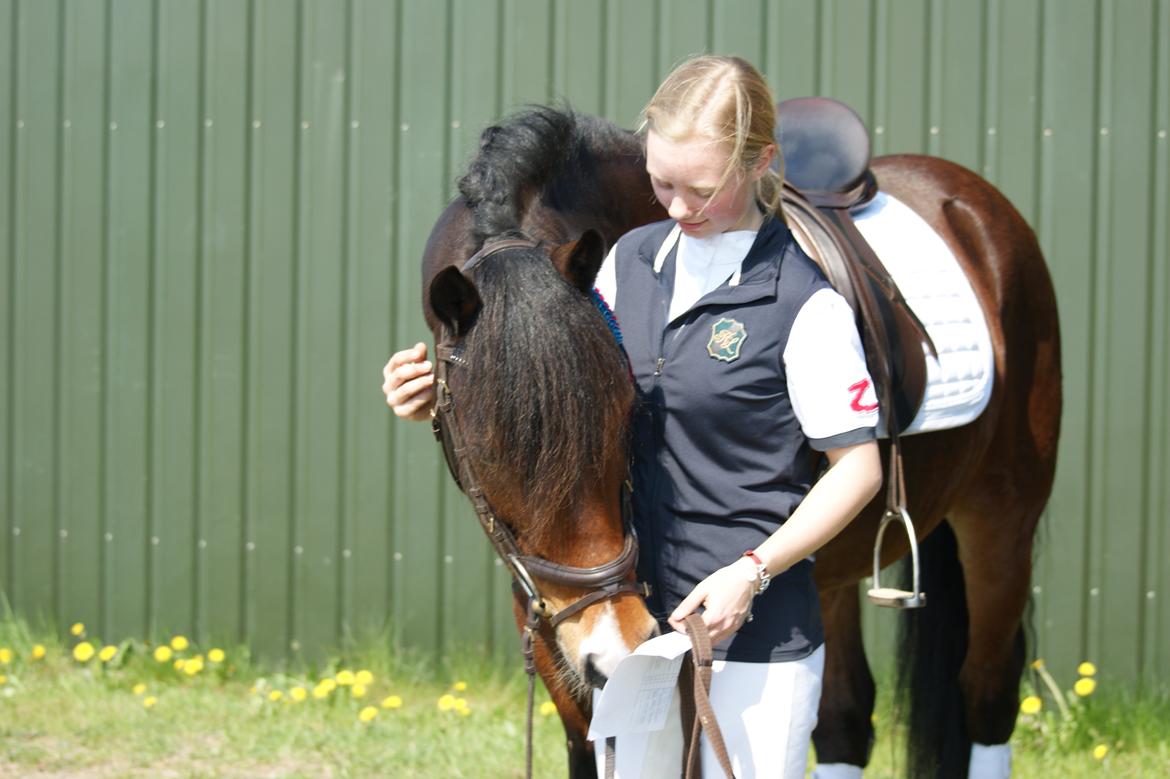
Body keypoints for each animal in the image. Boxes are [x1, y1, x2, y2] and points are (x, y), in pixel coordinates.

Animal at [421, 104, 1062, 776]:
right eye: (486, 449)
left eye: (625, 417)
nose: (618, 644)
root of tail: (970, 199)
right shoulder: (549, 626)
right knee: (846, 717)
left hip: (1002, 520)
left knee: (987, 693)